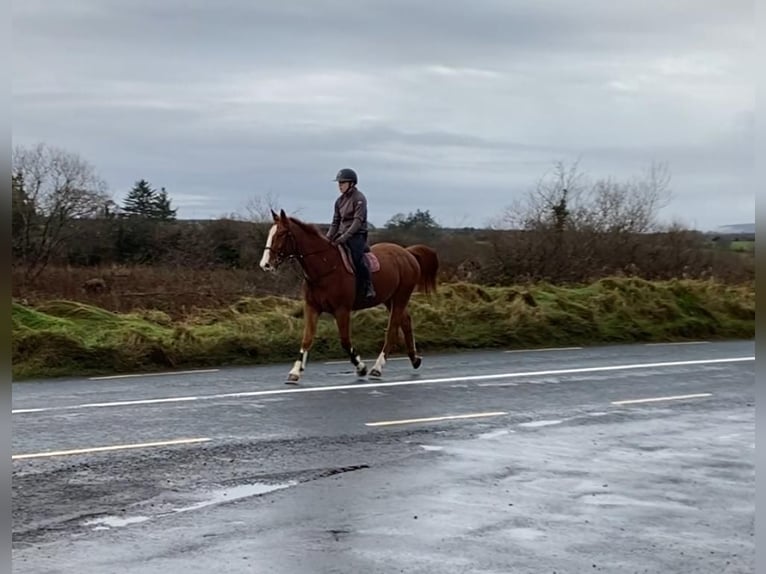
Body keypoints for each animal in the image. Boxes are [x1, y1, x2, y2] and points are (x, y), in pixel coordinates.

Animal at [260, 209, 438, 384]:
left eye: (282, 234)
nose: (265, 264)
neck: (325, 266)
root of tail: (407, 253)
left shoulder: (342, 310)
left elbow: (345, 341)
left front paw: (361, 367)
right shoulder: (312, 308)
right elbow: (307, 339)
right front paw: (295, 371)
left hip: (401, 297)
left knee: (392, 330)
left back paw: (377, 367)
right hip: (390, 299)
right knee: (406, 321)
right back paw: (414, 359)